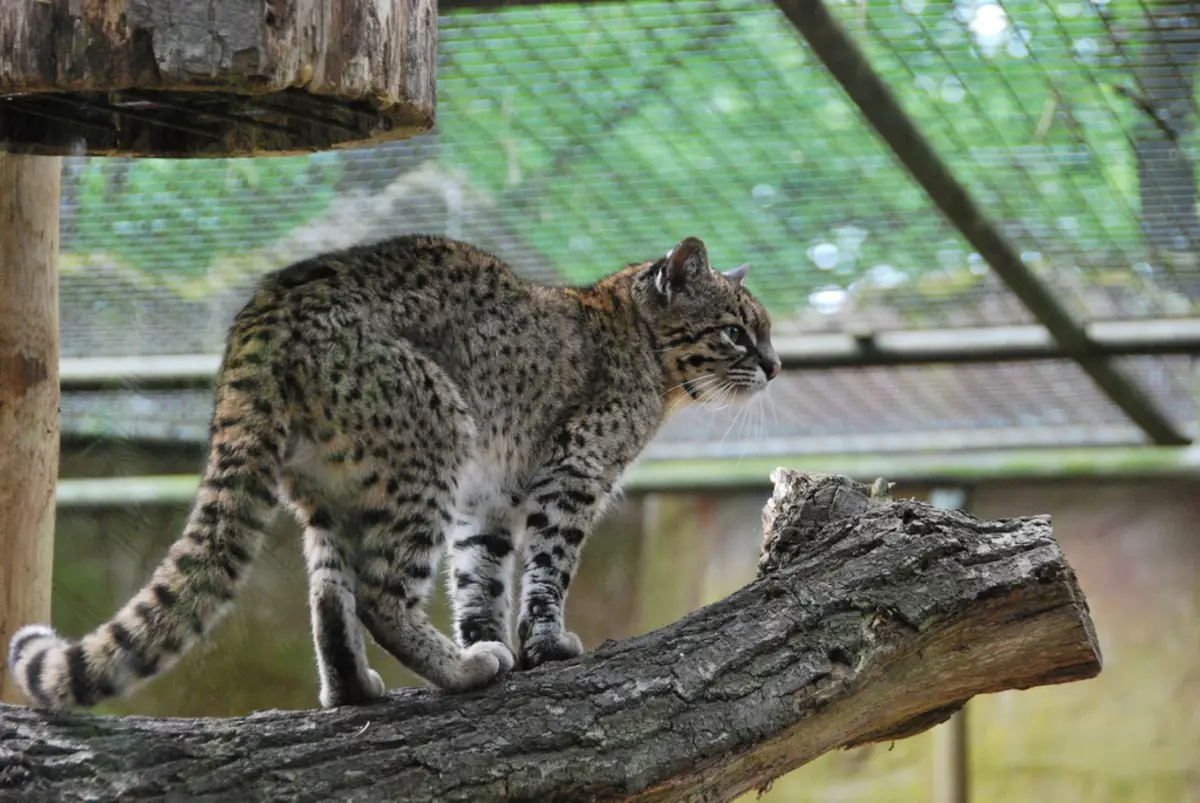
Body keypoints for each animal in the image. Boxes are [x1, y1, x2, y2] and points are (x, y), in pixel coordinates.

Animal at [9, 231, 782, 705]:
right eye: (736, 331)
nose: (775, 366)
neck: (646, 348)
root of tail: (264, 312)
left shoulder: (488, 499)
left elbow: (479, 577)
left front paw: (491, 638)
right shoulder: (571, 473)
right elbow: (546, 571)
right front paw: (538, 644)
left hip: (332, 489)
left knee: (328, 592)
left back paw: (357, 687)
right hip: (432, 443)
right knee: (380, 594)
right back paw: (457, 671)